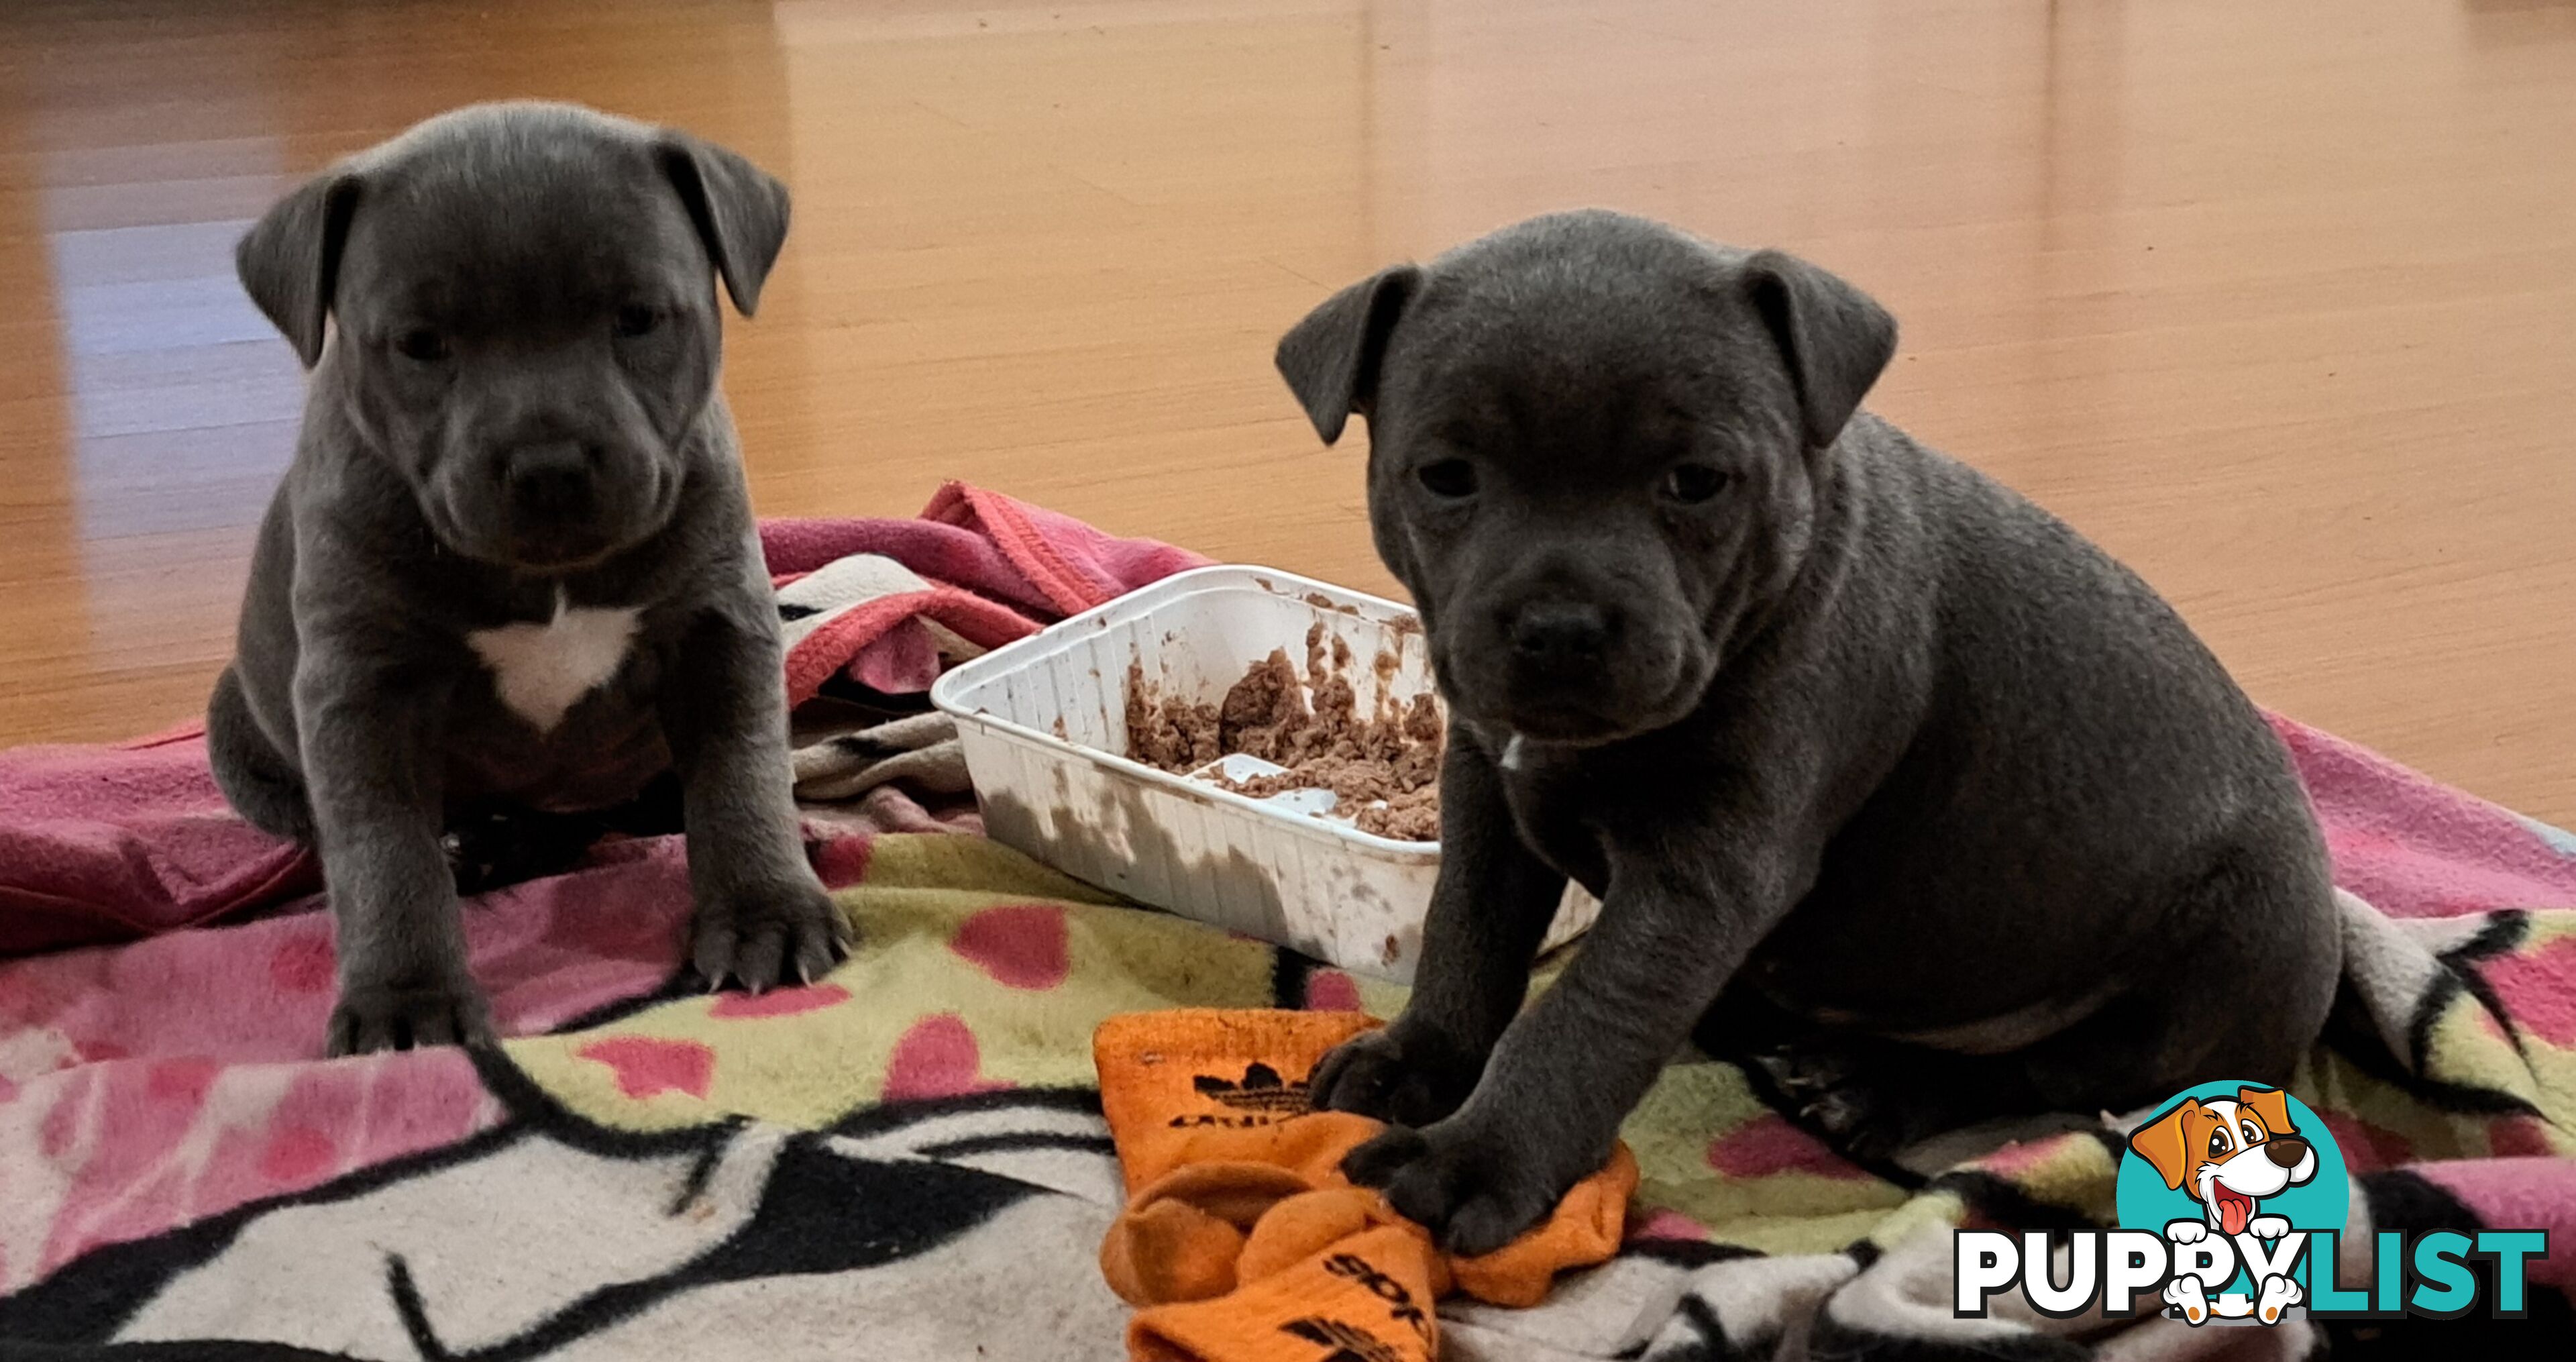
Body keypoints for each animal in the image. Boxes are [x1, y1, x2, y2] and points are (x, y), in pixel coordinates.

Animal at [1277, 207, 2349, 1256]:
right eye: (1445, 475)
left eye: (1698, 480)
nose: (1561, 629)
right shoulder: (1487, 793)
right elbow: (1467, 936)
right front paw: (1418, 1058)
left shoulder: (1702, 876)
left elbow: (1583, 1016)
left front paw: (1480, 1156)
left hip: (2214, 965)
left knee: (2051, 1077)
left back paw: (1876, 1085)